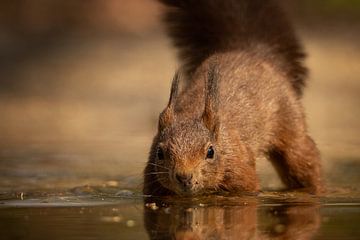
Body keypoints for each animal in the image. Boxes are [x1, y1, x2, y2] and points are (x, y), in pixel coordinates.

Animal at [143, 0, 324, 196]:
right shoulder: (152, 179)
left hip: (291, 128)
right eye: (160, 153)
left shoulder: (240, 172)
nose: (184, 177)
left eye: (210, 152)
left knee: (304, 160)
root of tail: (253, 53)